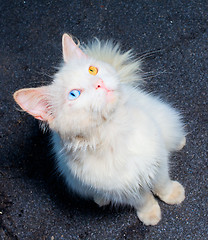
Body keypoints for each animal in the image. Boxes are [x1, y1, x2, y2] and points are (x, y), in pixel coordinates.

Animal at [13, 33, 185, 225]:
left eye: (92, 70)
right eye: (74, 94)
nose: (99, 83)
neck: (114, 133)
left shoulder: (157, 161)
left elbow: (162, 184)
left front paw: (174, 196)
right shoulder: (124, 189)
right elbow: (143, 200)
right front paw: (150, 215)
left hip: (166, 121)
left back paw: (180, 143)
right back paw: (101, 200)